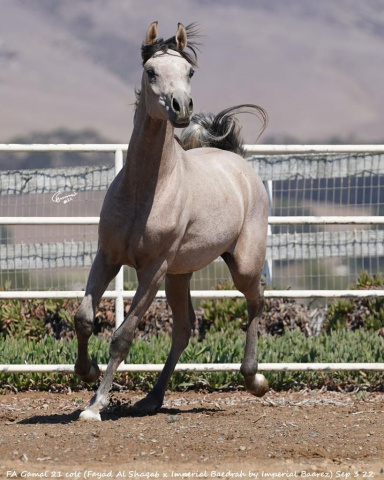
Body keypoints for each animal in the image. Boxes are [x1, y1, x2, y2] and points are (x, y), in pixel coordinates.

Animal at [73, 22, 268, 420]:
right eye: (151, 72)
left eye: (189, 72)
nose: (181, 107)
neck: (146, 191)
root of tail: (237, 161)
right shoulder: (108, 257)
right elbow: (84, 317)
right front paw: (86, 371)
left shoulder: (153, 270)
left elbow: (122, 336)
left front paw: (95, 405)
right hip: (181, 274)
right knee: (184, 329)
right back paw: (152, 398)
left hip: (242, 264)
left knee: (256, 302)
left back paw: (254, 380)